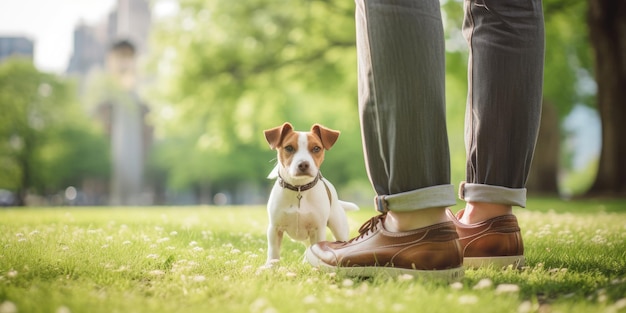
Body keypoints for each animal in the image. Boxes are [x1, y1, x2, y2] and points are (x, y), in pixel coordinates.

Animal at [262, 122, 358, 266]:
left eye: (316, 148)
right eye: (289, 148)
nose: (303, 164)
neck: (299, 188)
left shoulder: (317, 230)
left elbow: (317, 249)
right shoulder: (274, 229)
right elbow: (273, 253)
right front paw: (270, 267)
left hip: (339, 228)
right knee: (307, 247)